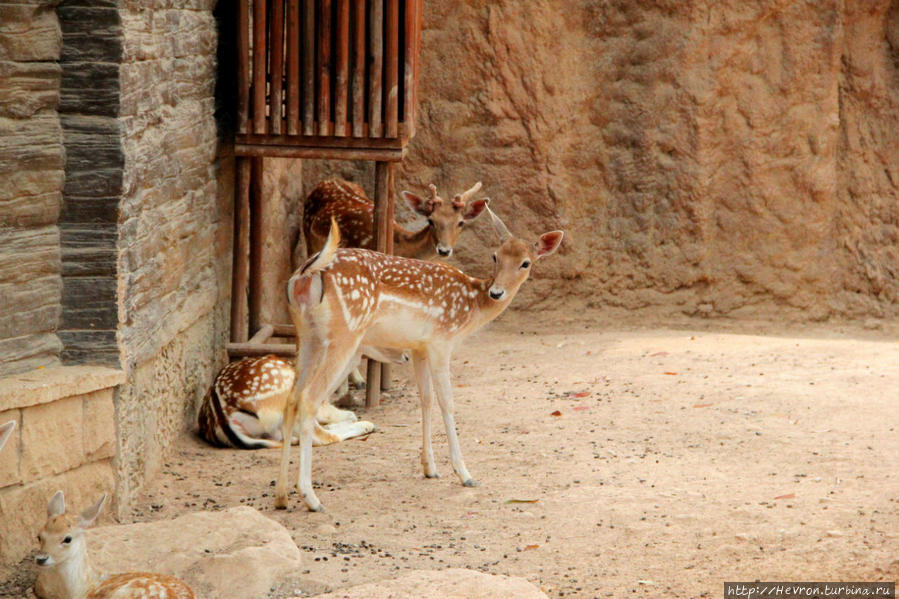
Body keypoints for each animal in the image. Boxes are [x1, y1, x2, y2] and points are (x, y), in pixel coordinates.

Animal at [274, 207, 564, 510]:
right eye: (495, 256)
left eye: (525, 263)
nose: (497, 292)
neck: (471, 307)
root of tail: (305, 274)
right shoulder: (441, 342)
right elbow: (447, 402)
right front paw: (465, 474)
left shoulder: (418, 348)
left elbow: (425, 400)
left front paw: (429, 468)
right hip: (345, 335)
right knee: (310, 399)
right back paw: (311, 497)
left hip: (306, 335)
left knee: (292, 399)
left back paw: (282, 495)